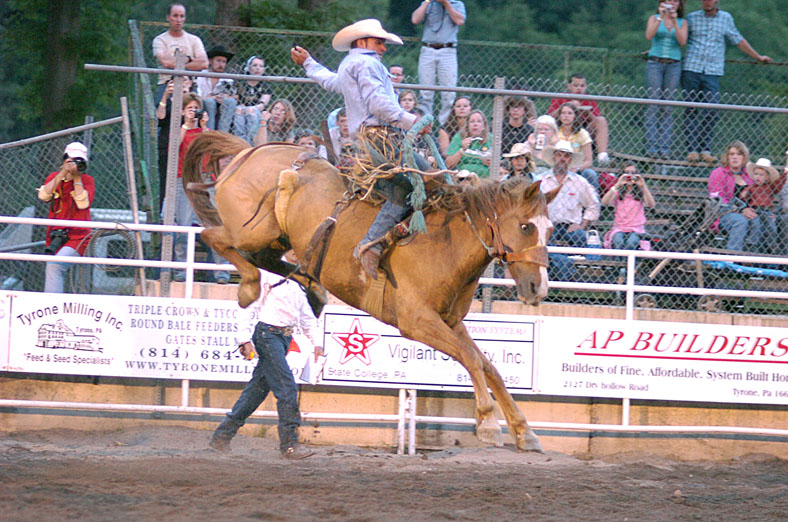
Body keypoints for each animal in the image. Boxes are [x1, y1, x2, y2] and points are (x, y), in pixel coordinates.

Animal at [182, 131, 556, 450]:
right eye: (526, 226)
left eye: (550, 229)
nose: (538, 288)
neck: (444, 244)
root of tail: (250, 151)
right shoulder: (417, 321)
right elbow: (472, 360)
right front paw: (489, 424)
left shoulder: (450, 322)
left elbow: (489, 366)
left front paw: (524, 431)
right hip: (251, 231)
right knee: (215, 237)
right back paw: (249, 288)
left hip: (277, 238)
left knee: (268, 260)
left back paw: (311, 286)